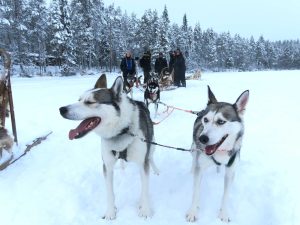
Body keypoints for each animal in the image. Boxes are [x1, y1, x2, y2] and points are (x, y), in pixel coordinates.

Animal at [58, 74, 157, 220]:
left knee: (151, 157)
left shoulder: (142, 163)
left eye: (90, 102)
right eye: (79, 99)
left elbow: (144, 189)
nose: (62, 109)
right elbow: (110, 193)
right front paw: (110, 212)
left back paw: (156, 170)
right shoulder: (107, 166)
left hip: (151, 145)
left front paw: (145, 209)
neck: (122, 130)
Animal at [186, 85, 250, 222]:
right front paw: (193, 211)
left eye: (221, 122)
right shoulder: (200, 167)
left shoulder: (230, 172)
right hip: (193, 149)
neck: (219, 152)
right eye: (206, 120)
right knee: (194, 160)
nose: (202, 138)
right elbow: (196, 192)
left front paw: (223, 214)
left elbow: (225, 195)